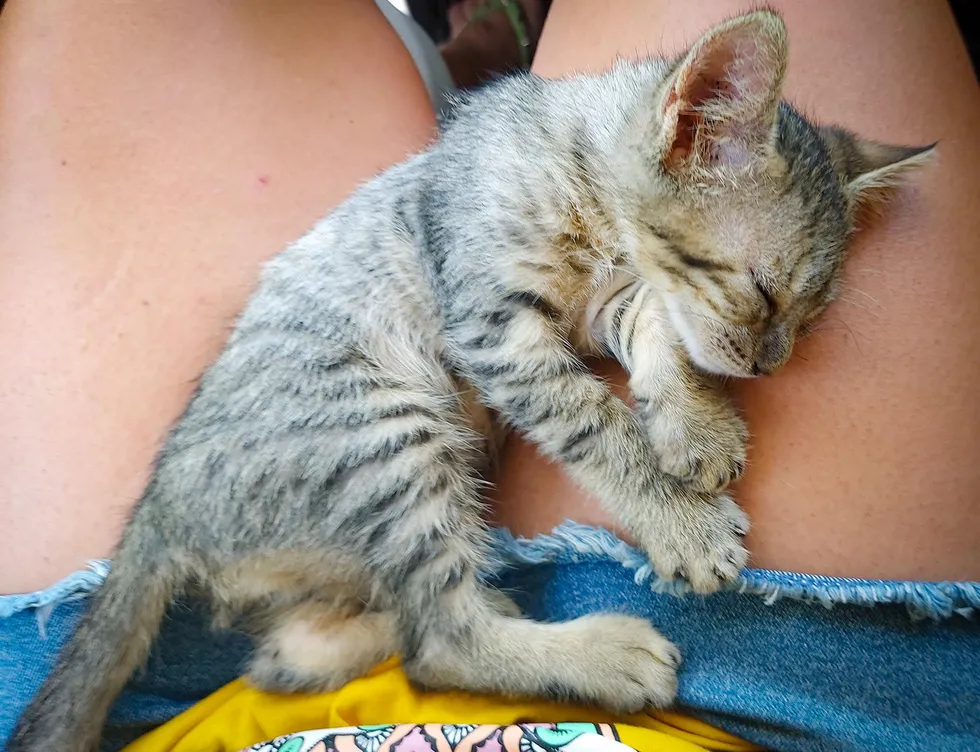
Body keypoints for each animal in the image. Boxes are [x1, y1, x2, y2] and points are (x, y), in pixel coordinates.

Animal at [7, 11, 932, 752]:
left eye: (809, 317)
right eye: (764, 292)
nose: (770, 362)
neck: (579, 168)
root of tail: (161, 506)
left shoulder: (611, 304)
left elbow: (659, 331)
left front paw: (694, 427)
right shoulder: (496, 328)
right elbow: (594, 421)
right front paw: (680, 520)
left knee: (297, 658)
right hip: (387, 431)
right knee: (440, 643)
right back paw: (600, 654)